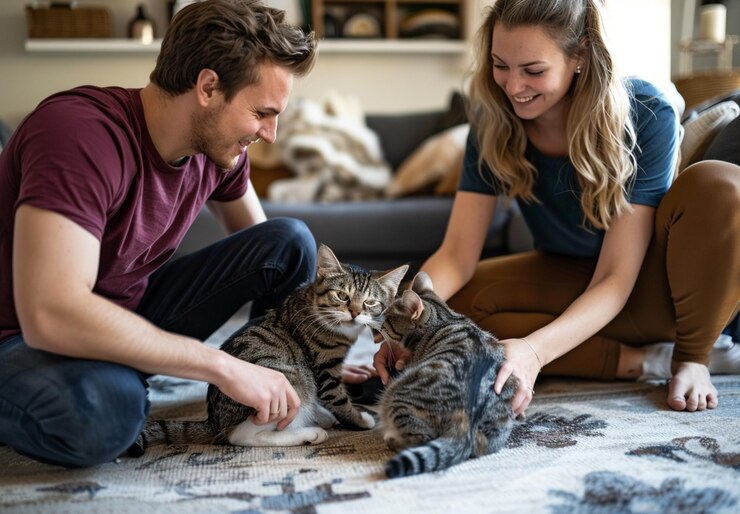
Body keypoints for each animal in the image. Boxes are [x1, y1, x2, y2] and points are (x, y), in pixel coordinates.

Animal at [130, 242, 408, 450]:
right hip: (288, 382)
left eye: (370, 302)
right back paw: (309, 432)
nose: (354, 313)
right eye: (341, 296)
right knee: (242, 436)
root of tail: (215, 422)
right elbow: (338, 399)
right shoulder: (325, 368)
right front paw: (360, 419)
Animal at [378, 270, 516, 478]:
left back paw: (392, 439)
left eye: (386, 319)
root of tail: (465, 420)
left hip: (397, 392)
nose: (377, 318)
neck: (446, 318)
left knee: (419, 439)